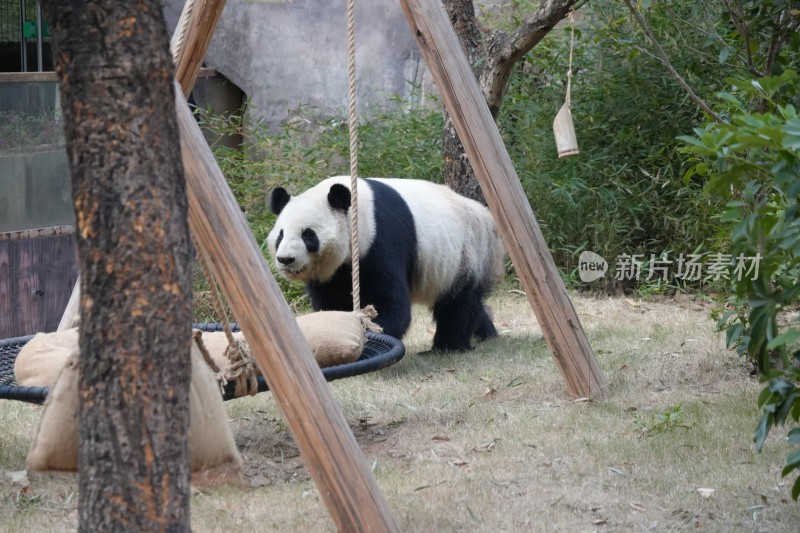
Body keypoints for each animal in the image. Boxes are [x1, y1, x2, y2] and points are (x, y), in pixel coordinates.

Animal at [268, 176, 506, 350]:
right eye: (281, 235)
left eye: (308, 235)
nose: (286, 259)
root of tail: (486, 215)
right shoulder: (332, 273)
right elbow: (330, 303)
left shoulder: (378, 239)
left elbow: (389, 300)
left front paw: (371, 332)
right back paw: (487, 333)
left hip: (467, 253)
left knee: (458, 304)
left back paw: (447, 347)